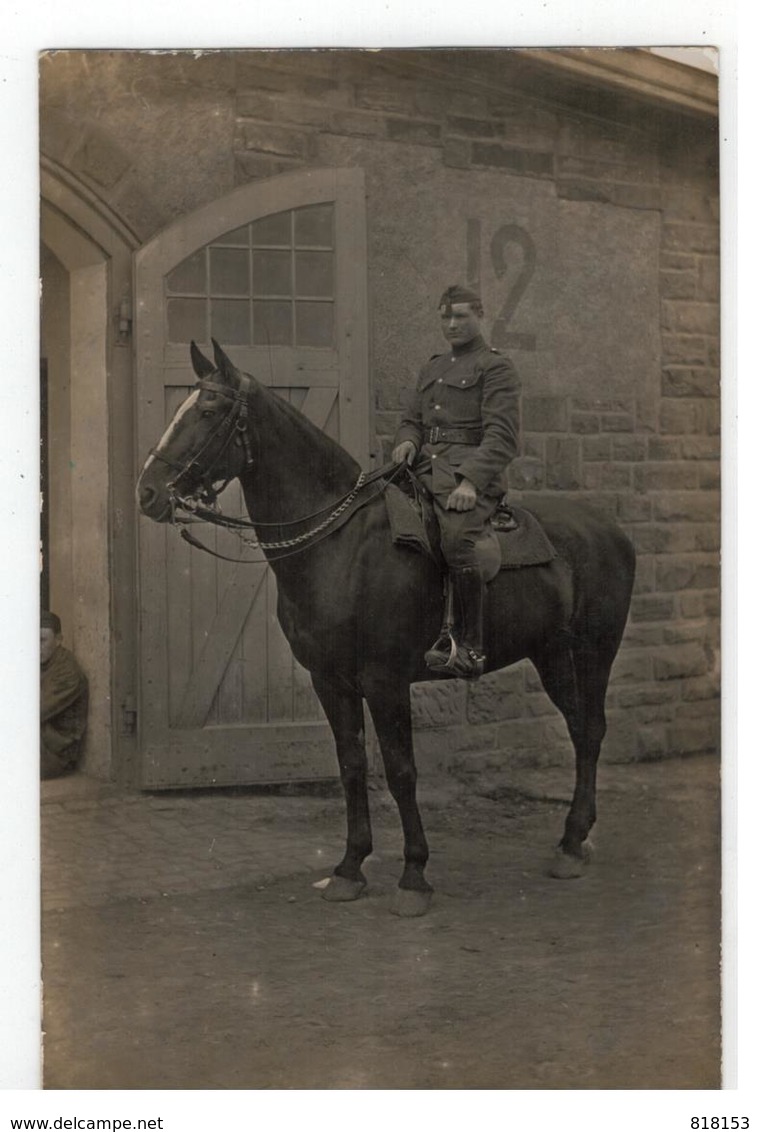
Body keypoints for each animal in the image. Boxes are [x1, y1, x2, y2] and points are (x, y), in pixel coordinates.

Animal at [135, 339, 634, 914]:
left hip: (595, 652)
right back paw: (574, 839)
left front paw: (414, 875)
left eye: (209, 411)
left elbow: (400, 770)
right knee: (579, 728)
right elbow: (352, 765)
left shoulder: (385, 680)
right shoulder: (330, 681)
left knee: (591, 730)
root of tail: (610, 530)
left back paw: (573, 844)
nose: (146, 492)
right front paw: (350, 867)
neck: (340, 544)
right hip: (552, 654)